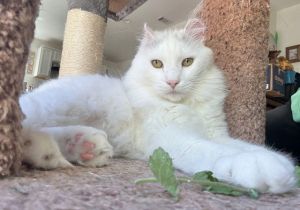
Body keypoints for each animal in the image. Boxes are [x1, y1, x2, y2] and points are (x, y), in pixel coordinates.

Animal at [19, 18, 296, 193]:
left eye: (187, 62)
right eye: (157, 64)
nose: (173, 82)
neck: (187, 106)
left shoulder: (216, 132)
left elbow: (245, 147)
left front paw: (284, 166)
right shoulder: (174, 138)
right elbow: (218, 152)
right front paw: (261, 167)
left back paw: (82, 147)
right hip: (60, 102)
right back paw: (43, 147)